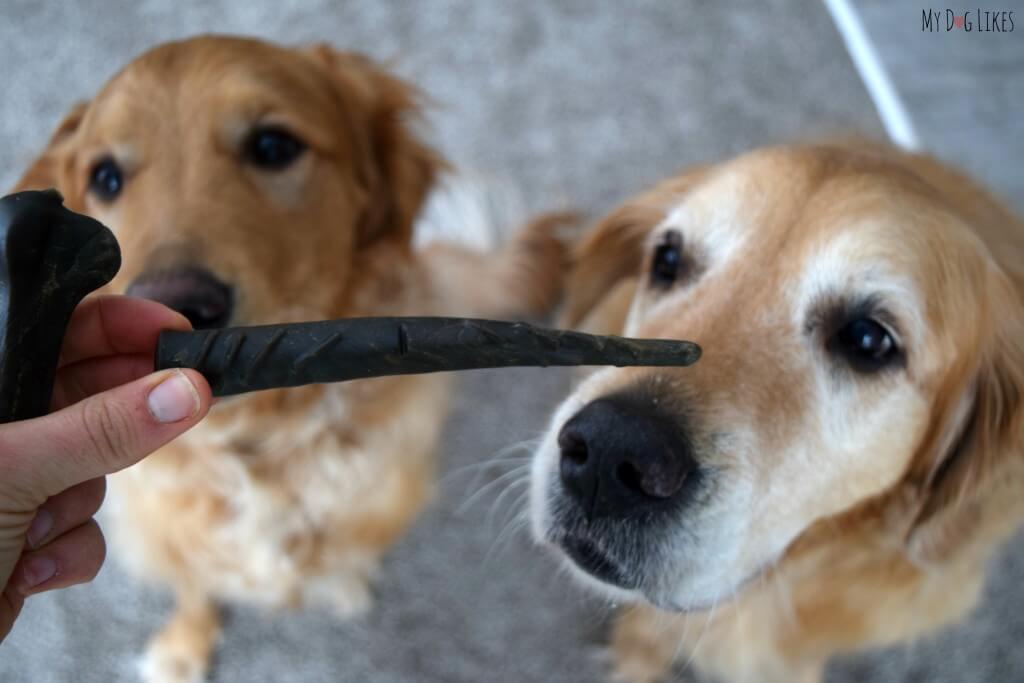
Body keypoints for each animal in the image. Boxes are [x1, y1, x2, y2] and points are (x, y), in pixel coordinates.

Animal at [12, 34, 565, 679]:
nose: (179, 305)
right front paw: (183, 645)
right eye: (105, 176)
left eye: (273, 146)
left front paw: (344, 583)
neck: (260, 444)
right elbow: (194, 584)